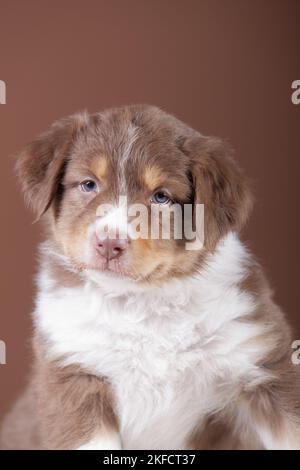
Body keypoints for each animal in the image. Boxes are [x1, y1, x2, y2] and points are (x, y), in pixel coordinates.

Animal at [0, 104, 300, 450]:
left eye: (161, 197)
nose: (108, 244)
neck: (145, 302)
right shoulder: (73, 375)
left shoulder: (264, 363)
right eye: (88, 184)